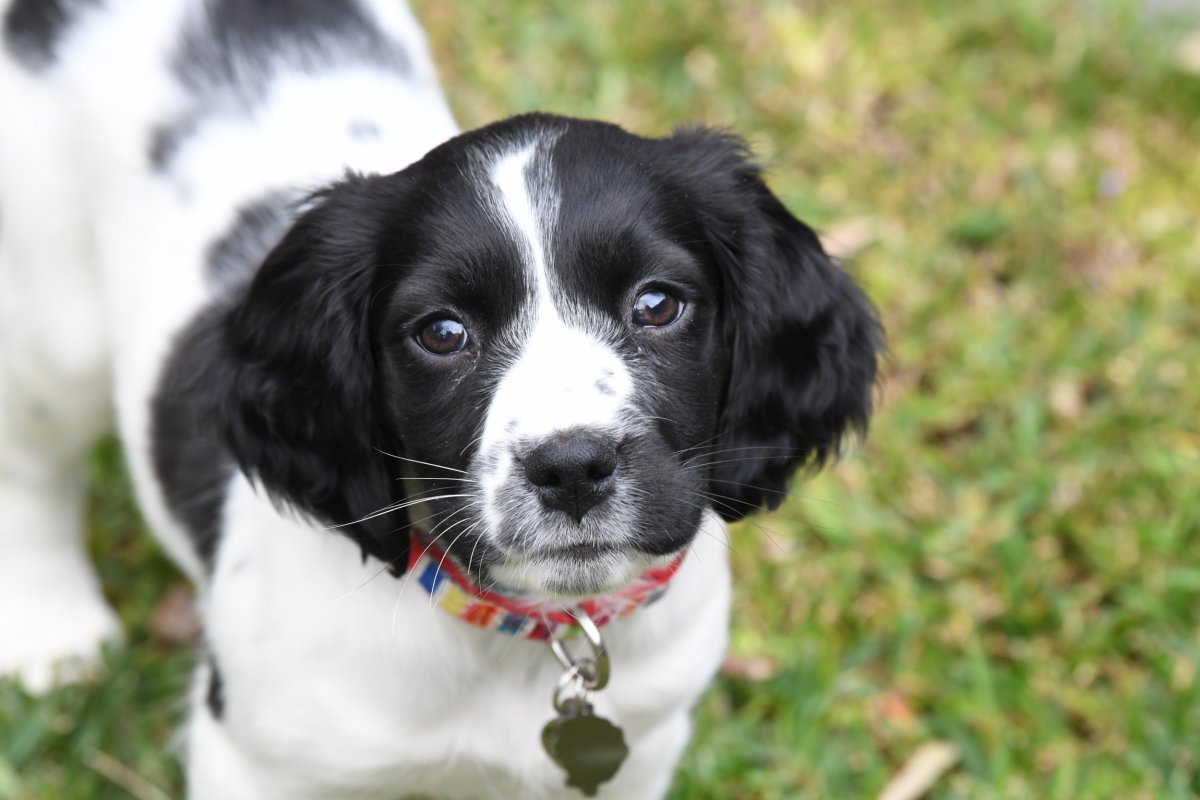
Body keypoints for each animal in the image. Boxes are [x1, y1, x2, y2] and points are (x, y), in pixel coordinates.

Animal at [0, 1, 883, 800]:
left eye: (659, 304)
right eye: (443, 333)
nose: (572, 467)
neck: (522, 633)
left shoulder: (643, 745)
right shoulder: (259, 760)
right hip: (49, 333)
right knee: (32, 464)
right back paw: (53, 630)